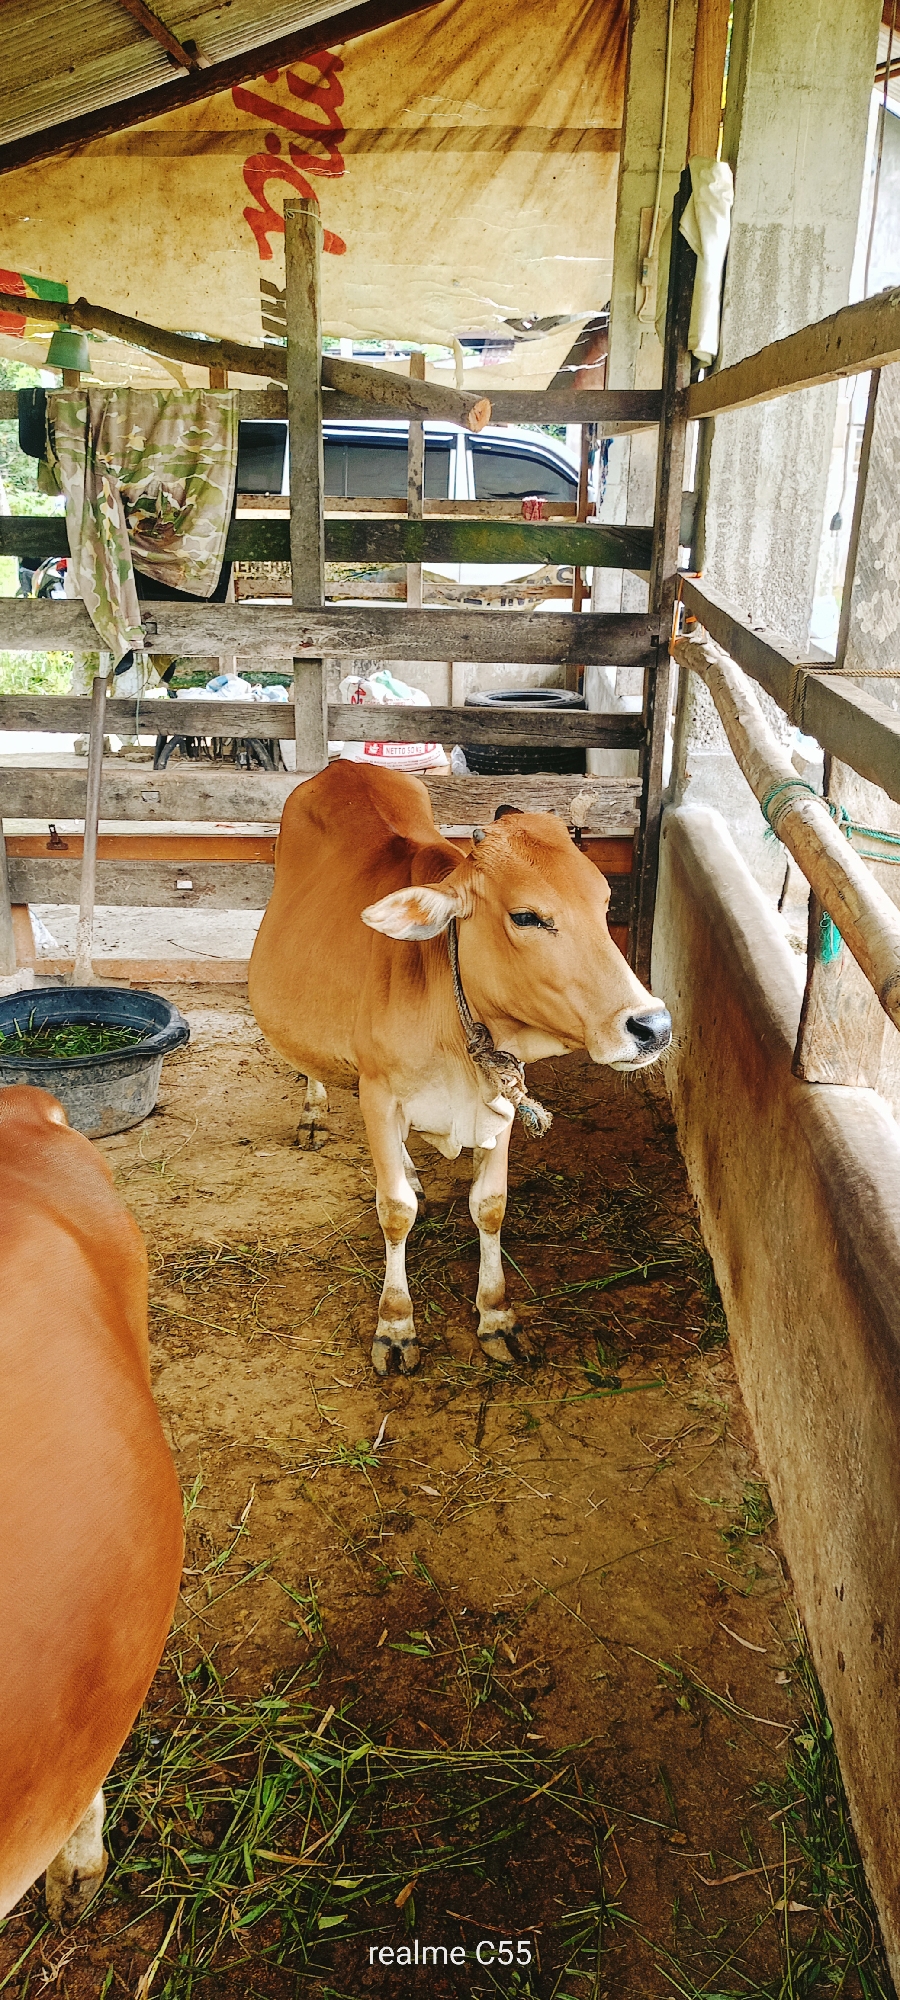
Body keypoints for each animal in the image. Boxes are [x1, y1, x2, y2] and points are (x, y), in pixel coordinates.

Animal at [249, 763, 671, 1376]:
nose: (653, 1026)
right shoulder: (379, 1093)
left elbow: (489, 1206)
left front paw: (496, 1315)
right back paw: (314, 1113)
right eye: (527, 916)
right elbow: (394, 1211)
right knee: (314, 1068)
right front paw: (395, 1326)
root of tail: (341, 765)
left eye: (604, 901)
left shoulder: (501, 1093)